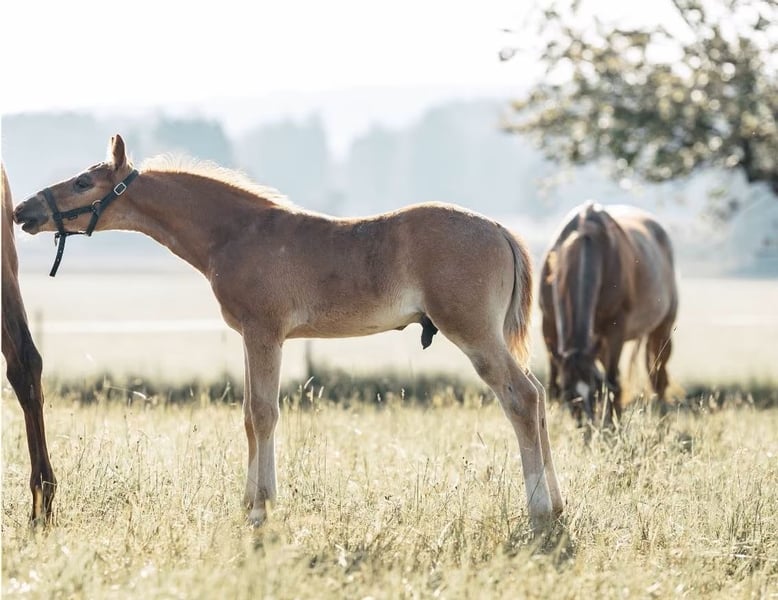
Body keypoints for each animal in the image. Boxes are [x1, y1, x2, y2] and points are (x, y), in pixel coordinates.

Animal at [14, 134, 563, 531]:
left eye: (83, 182)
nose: (24, 211)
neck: (236, 233)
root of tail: (500, 229)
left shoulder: (265, 332)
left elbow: (264, 414)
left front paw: (260, 510)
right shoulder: (249, 336)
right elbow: (249, 416)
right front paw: (252, 503)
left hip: (472, 332)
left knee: (521, 398)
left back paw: (539, 511)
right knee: (537, 394)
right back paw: (557, 505)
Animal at [539, 201, 678, 426]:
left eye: (595, 392)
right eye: (569, 394)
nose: (587, 427)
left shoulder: (615, 330)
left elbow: (612, 381)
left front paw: (613, 424)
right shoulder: (548, 325)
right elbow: (553, 381)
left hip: (662, 330)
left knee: (658, 377)